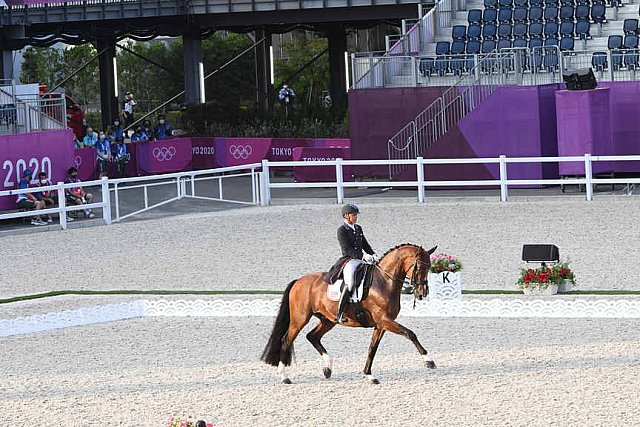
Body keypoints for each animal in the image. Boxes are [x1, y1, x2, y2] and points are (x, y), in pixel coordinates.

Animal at [258, 244, 436, 384]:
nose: (422, 293)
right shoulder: (384, 320)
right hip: (300, 319)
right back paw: (284, 377)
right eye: (418, 267)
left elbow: (372, 349)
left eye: (429, 267)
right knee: (286, 340)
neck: (384, 282)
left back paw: (327, 368)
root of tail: (299, 281)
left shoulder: (381, 325)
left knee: (312, 336)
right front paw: (429, 361)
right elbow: (410, 333)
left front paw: (369, 375)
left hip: (328, 320)